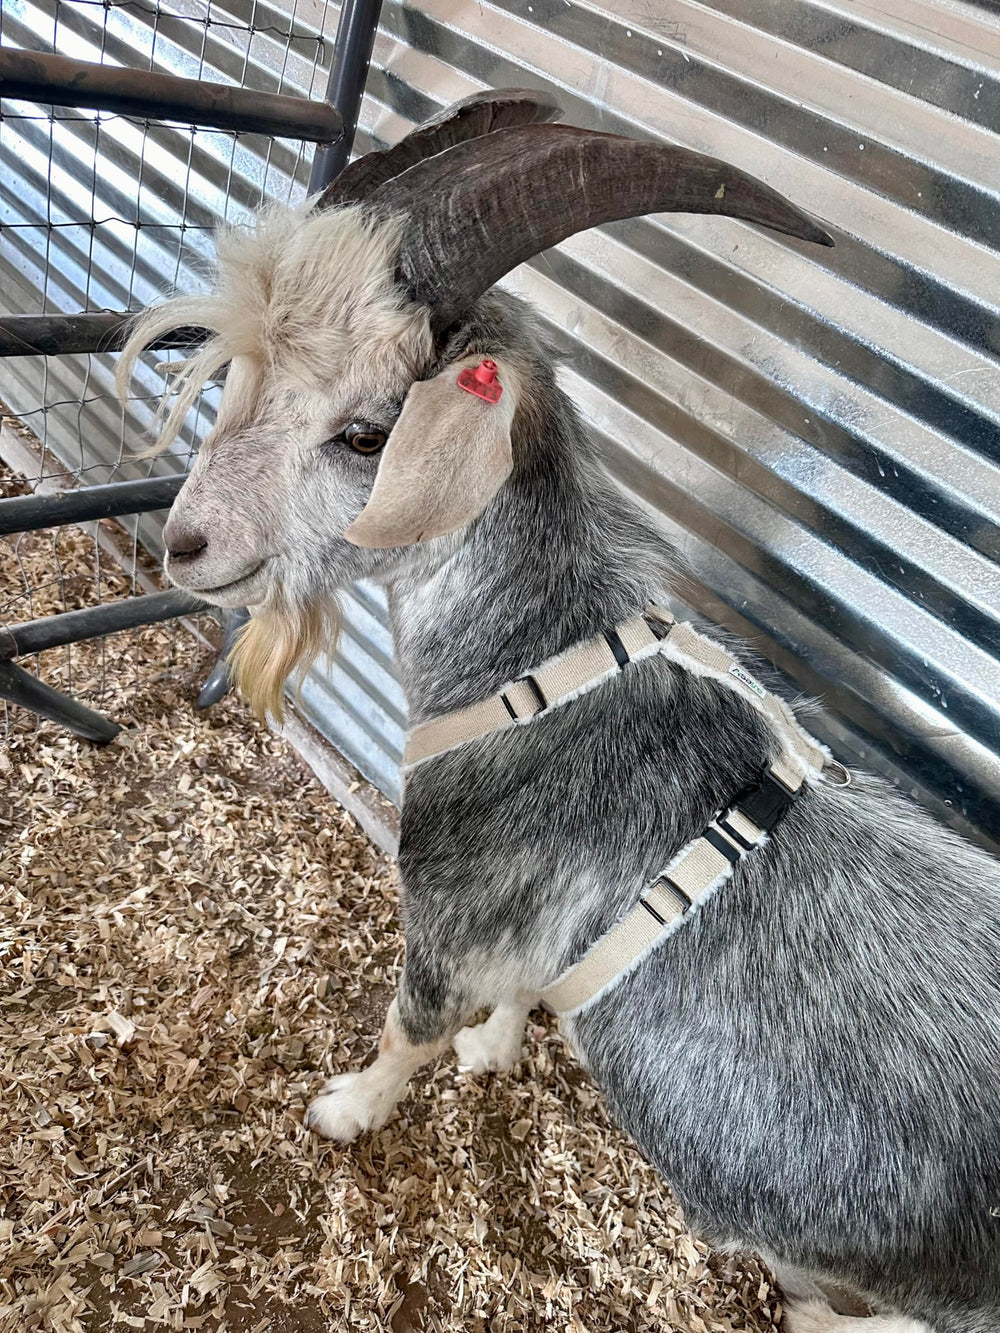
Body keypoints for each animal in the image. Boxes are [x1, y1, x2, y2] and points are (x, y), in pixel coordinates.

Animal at [118, 90, 1000, 1333]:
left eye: (365, 432)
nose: (187, 544)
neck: (543, 663)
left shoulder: (448, 908)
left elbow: (409, 1026)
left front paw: (346, 1110)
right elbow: (523, 991)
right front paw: (496, 1053)